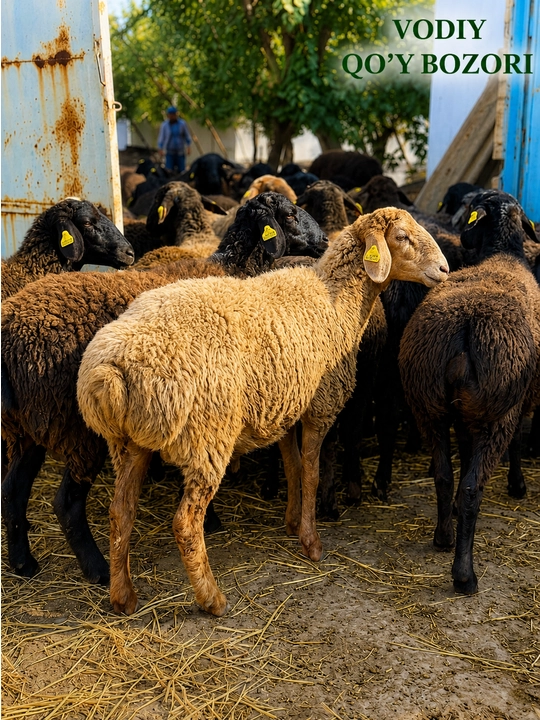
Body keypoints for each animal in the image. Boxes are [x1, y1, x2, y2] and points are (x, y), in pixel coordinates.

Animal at [76, 208, 449, 615]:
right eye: (401, 236)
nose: (445, 269)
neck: (336, 301)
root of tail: (109, 372)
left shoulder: (285, 404)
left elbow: (292, 466)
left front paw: (292, 522)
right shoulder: (319, 405)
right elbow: (312, 472)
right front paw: (311, 542)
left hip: (131, 442)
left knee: (120, 512)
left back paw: (123, 595)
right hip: (208, 436)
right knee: (186, 523)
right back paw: (212, 598)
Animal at [399, 190, 540, 594]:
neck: (503, 252)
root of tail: (465, 326)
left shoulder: (463, 415)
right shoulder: (522, 402)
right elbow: (518, 444)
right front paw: (518, 485)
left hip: (428, 404)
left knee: (445, 477)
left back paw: (444, 537)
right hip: (496, 413)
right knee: (471, 488)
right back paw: (464, 575)